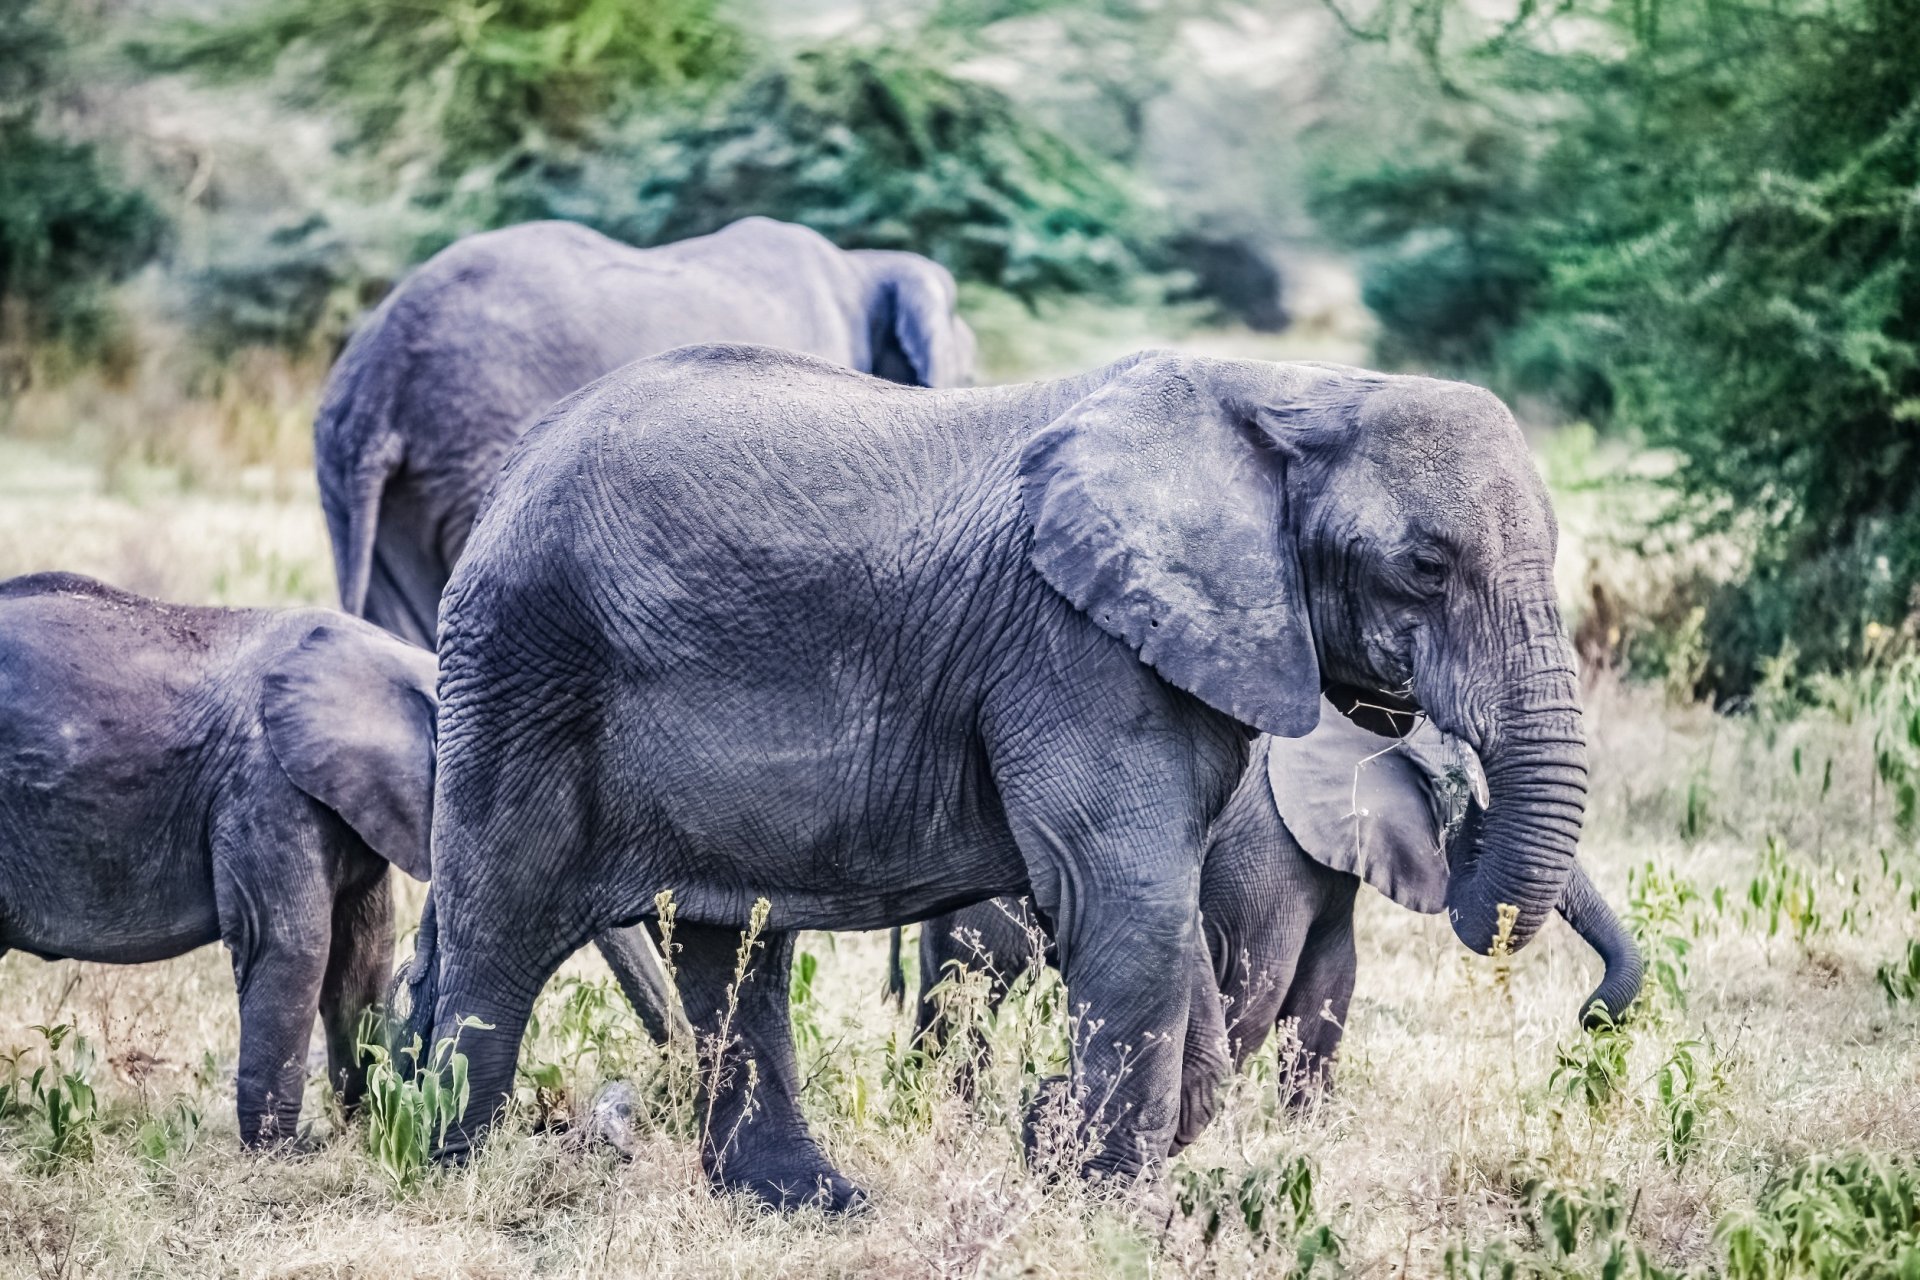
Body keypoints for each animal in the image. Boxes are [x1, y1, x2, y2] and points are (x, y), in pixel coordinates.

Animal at [906, 702, 1643, 1105]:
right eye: (1464, 791)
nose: (1590, 1018)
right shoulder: (1270, 850)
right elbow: (1262, 987)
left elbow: (1329, 989)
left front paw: (1307, 1136)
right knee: (977, 984)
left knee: (943, 989)